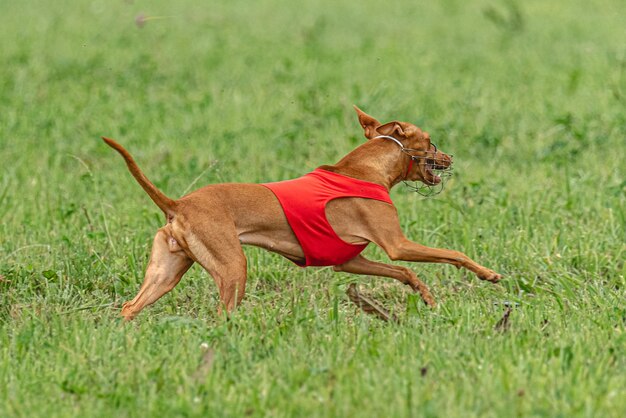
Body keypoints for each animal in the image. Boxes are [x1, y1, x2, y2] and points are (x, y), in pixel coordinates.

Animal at [105, 106, 500, 318]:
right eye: (430, 141)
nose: (449, 157)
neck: (365, 170)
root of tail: (179, 204)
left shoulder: (349, 260)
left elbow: (404, 272)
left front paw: (427, 297)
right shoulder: (397, 244)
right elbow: (453, 253)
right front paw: (488, 274)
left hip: (166, 271)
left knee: (128, 308)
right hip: (233, 268)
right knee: (221, 316)